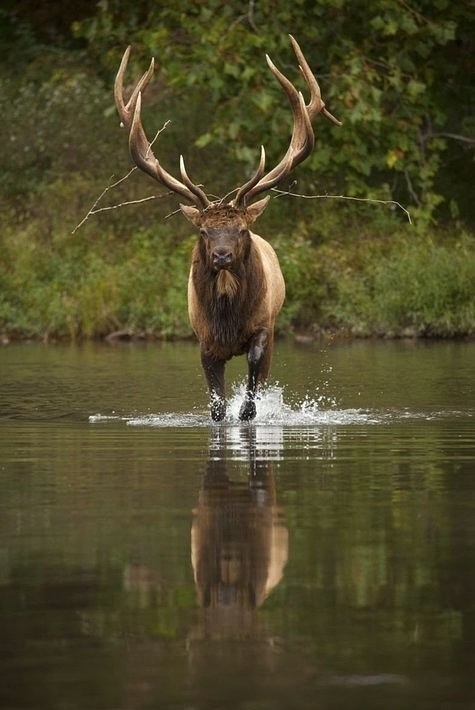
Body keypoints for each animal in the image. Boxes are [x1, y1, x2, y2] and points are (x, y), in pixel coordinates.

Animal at [113, 34, 340, 422]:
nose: (221, 256)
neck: (227, 319)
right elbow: (217, 409)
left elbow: (250, 398)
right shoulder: (204, 341)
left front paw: (248, 408)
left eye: (242, 230)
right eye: (204, 231)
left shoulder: (265, 329)